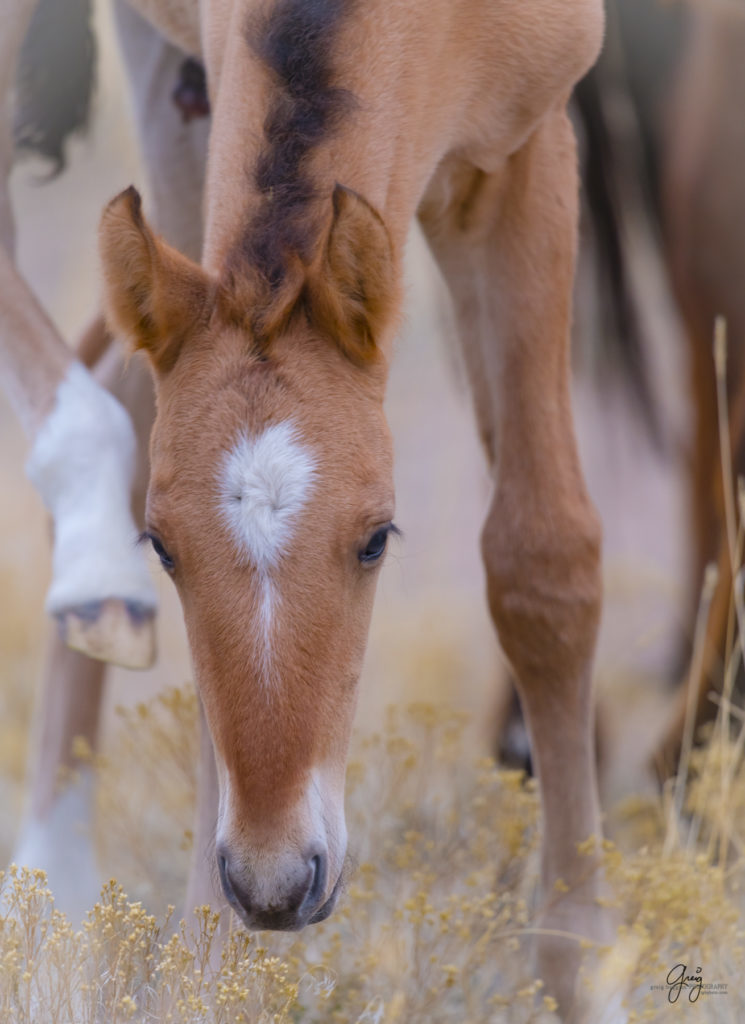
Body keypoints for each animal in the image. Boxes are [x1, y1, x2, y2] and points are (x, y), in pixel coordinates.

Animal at [2, 0, 609, 1015]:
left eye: (375, 539)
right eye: (163, 547)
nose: (276, 885)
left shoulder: (520, 150)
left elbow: (543, 564)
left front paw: (590, 974)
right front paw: (208, 977)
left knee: (112, 363)